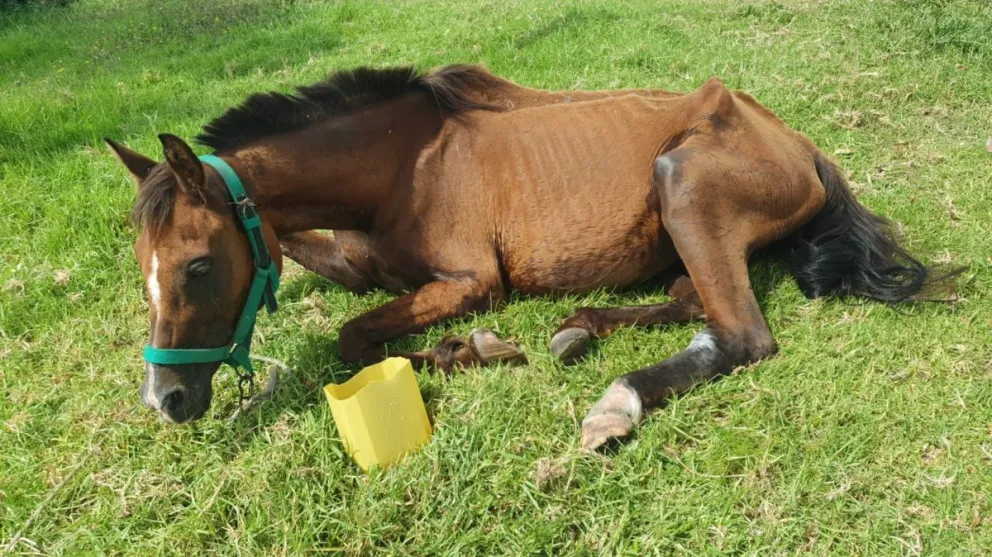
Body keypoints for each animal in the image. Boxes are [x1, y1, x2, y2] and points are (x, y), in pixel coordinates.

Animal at [106, 64, 949, 450]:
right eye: (143, 265)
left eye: (198, 265)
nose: (165, 399)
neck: (404, 166)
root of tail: (798, 145)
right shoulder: (357, 258)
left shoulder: (472, 279)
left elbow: (356, 337)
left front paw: (468, 348)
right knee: (692, 305)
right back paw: (577, 330)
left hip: (680, 184)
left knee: (742, 335)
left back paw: (615, 401)